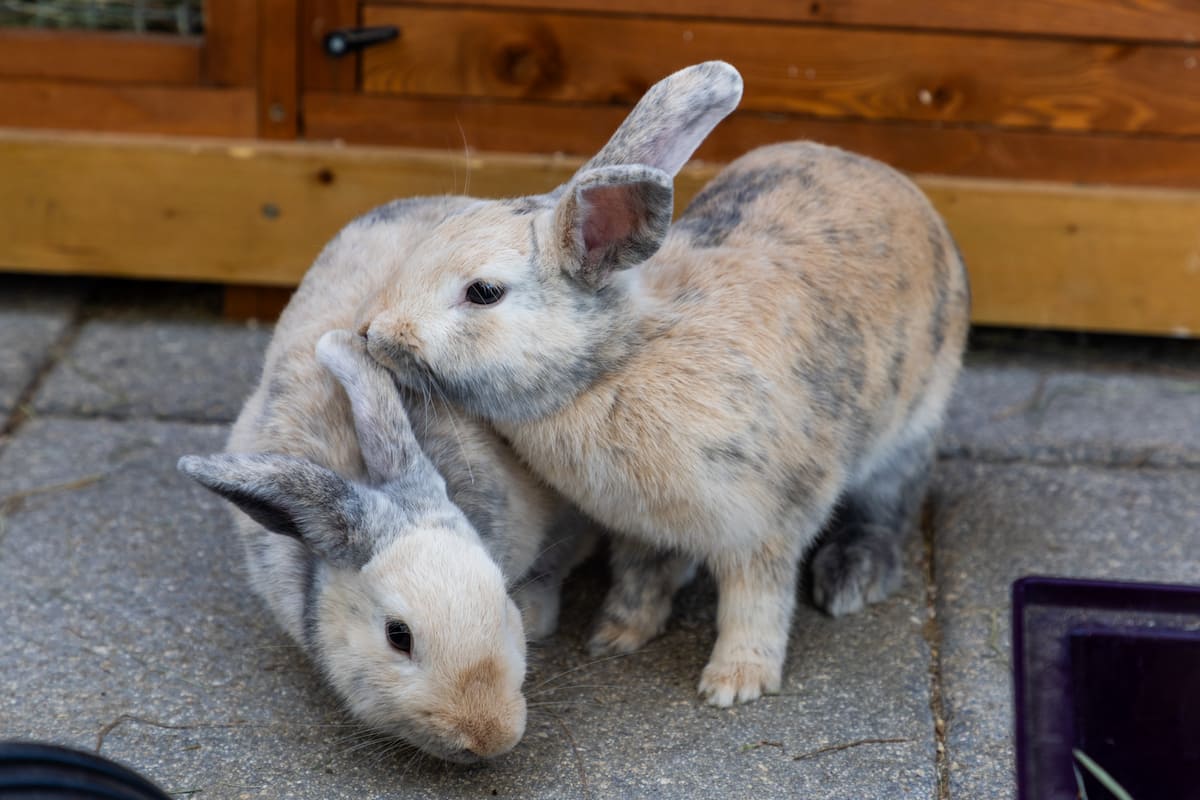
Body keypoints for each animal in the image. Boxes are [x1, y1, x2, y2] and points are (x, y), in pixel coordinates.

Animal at [354, 61, 971, 707]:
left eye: (483, 292)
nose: (373, 332)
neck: (617, 361)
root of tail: (901, 187)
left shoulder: (770, 523)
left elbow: (756, 601)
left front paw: (734, 683)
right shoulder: (642, 527)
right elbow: (640, 575)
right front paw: (618, 635)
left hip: (907, 433)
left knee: (888, 506)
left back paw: (854, 576)